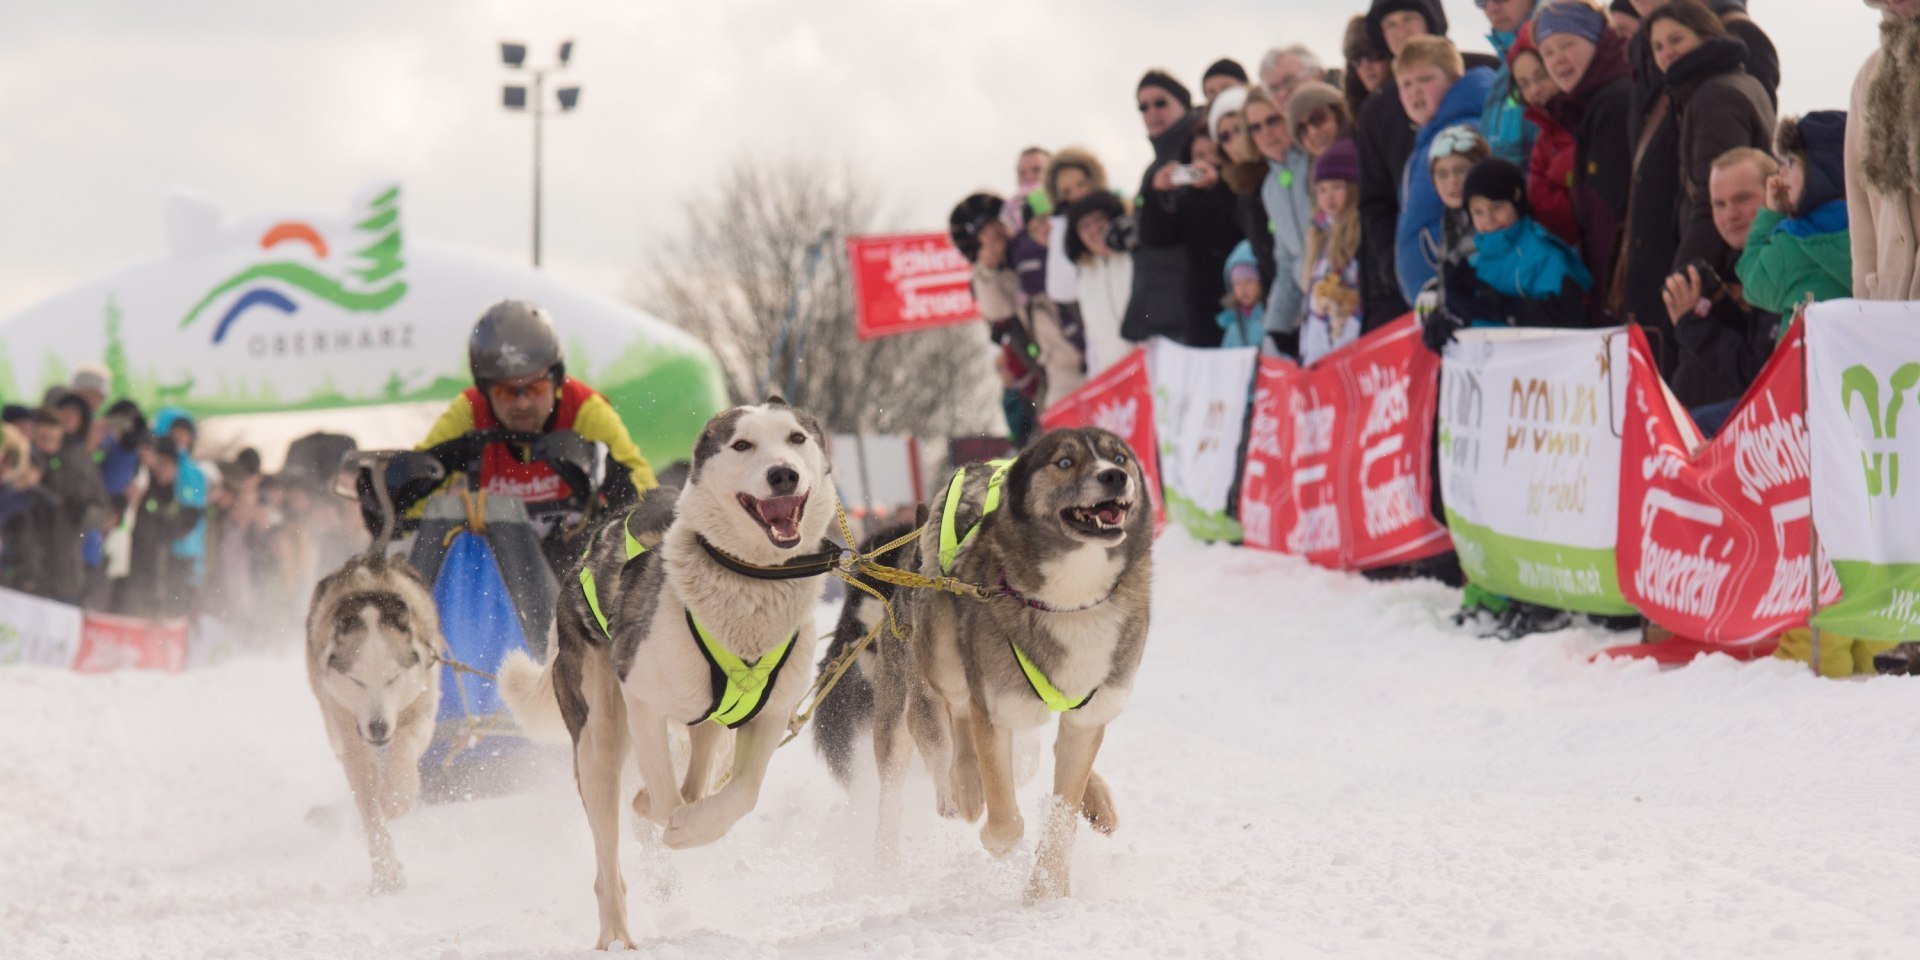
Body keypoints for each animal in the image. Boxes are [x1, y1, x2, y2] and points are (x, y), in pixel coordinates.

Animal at [303, 552, 445, 894]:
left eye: (392, 678)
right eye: (357, 681)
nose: (378, 727)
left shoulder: (422, 705)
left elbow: (405, 745)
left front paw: (396, 795)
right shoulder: (349, 731)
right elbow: (370, 809)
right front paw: (386, 874)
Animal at [506, 399, 837, 952]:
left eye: (796, 438)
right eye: (742, 444)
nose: (783, 474)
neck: (747, 583)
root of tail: (590, 547)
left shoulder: (770, 714)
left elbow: (740, 794)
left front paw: (696, 824)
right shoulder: (643, 700)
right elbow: (664, 798)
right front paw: (669, 819)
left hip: (709, 724)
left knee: (700, 771)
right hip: (599, 738)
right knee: (609, 858)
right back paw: (616, 933)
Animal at [814, 428, 1144, 898]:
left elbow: (1047, 759)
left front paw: (1091, 801)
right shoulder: (933, 704)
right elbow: (956, 751)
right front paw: (965, 789)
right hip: (894, 723)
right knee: (894, 795)